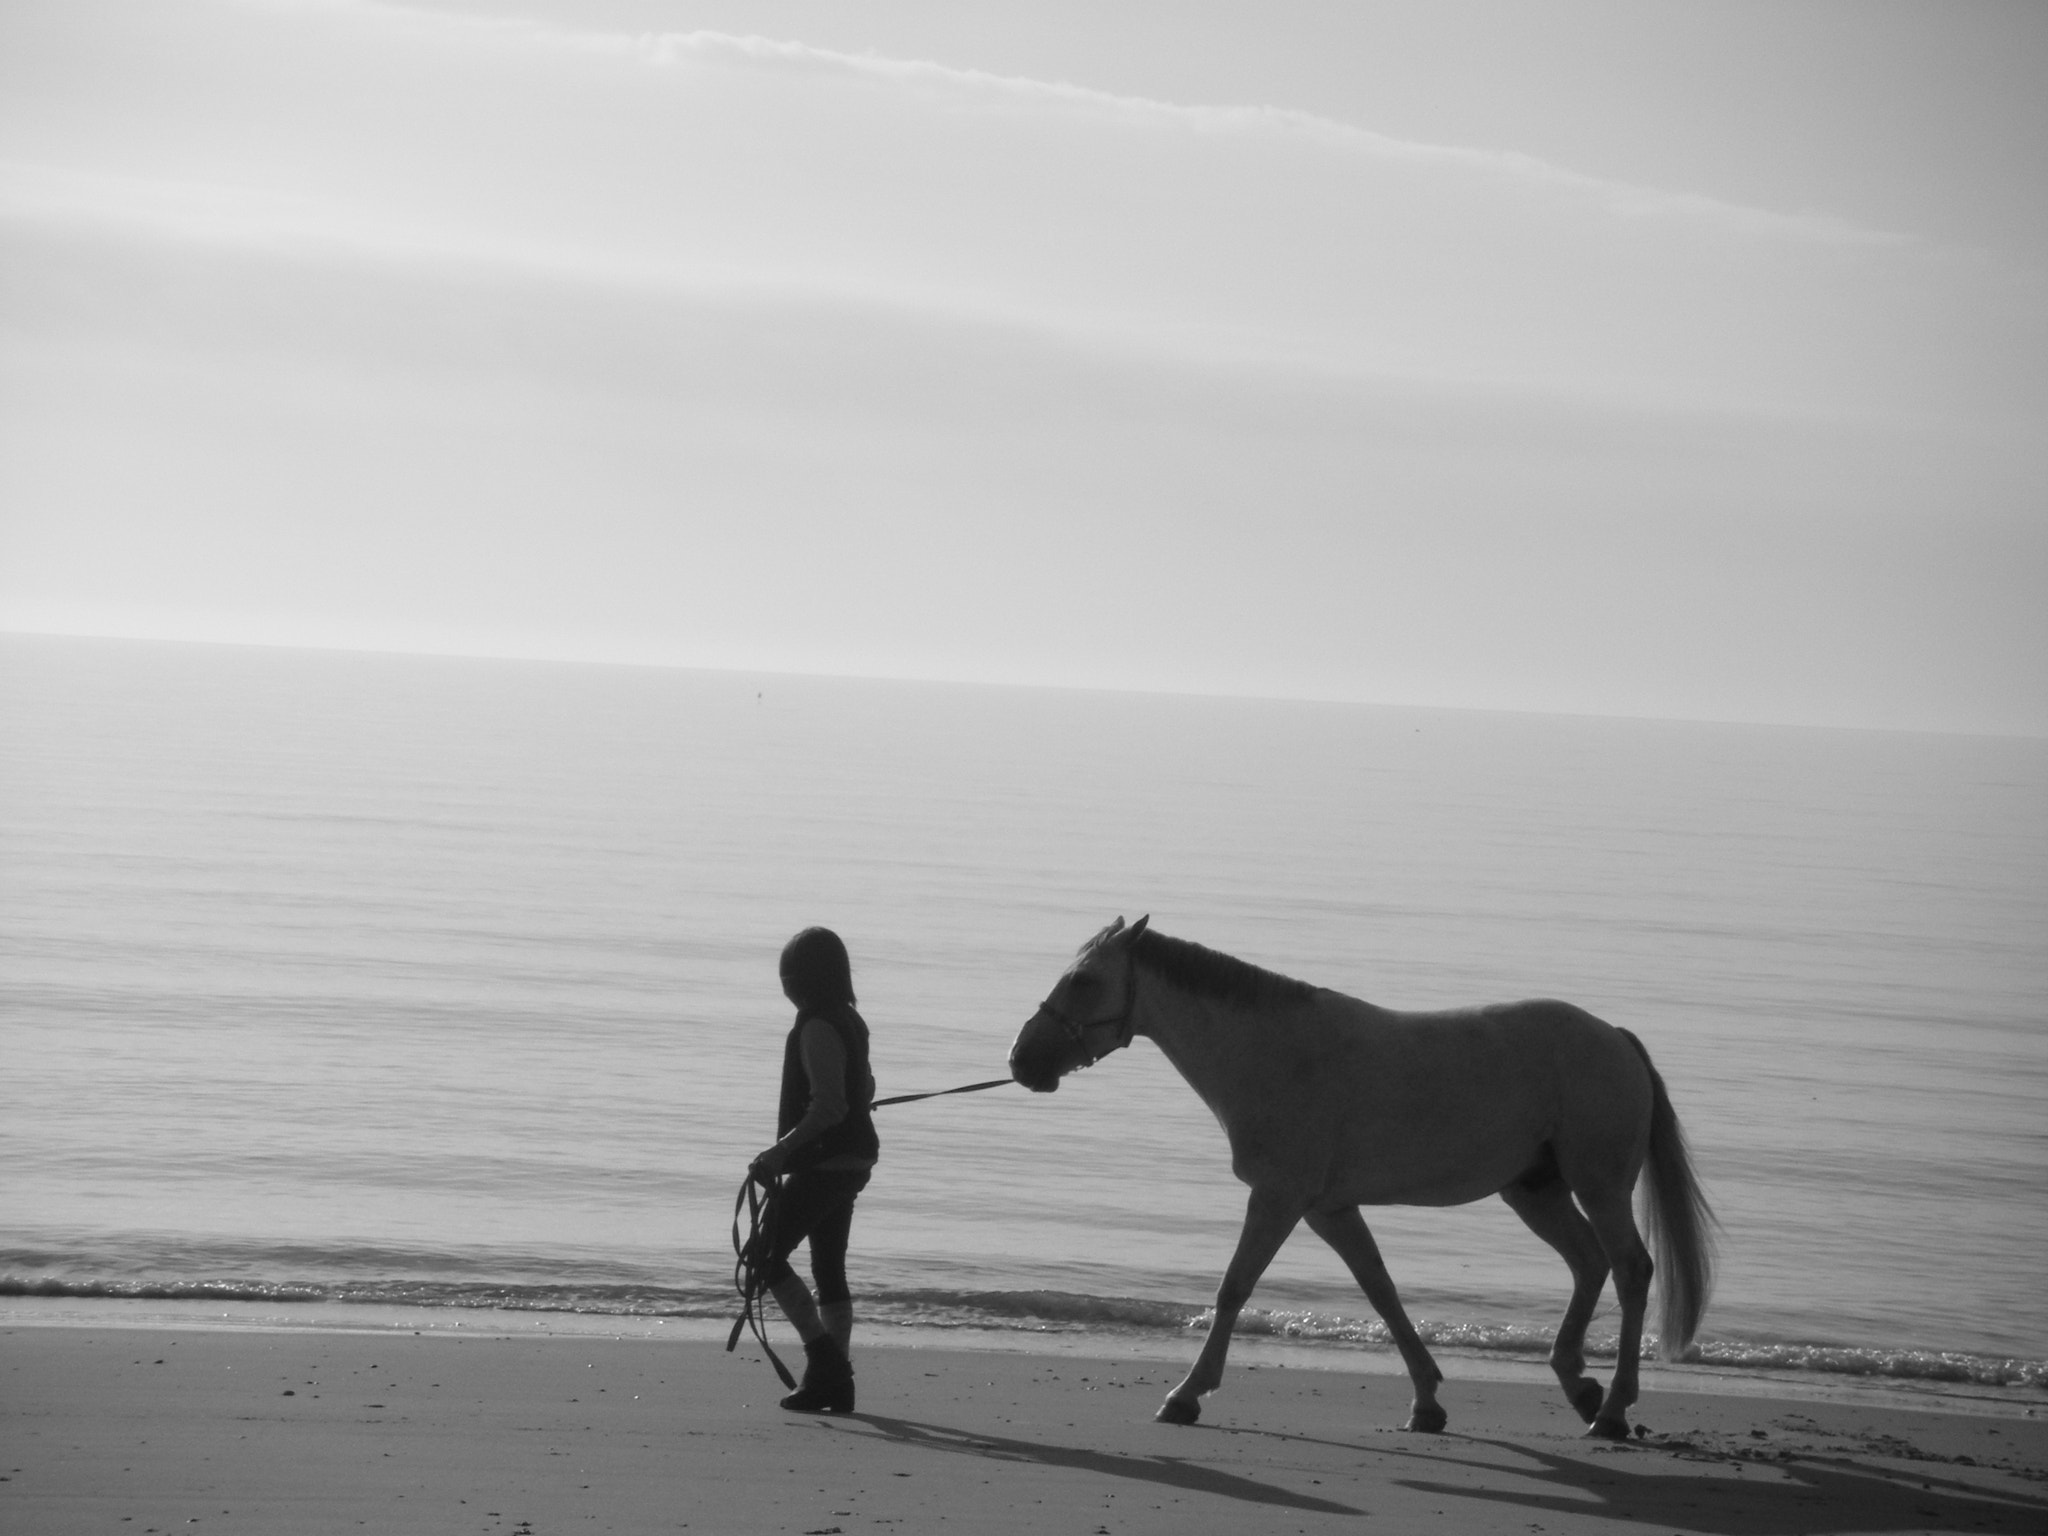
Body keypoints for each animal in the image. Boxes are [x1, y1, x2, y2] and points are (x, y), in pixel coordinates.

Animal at [1007, 913, 1712, 1441]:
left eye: (1084, 980)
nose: (1021, 1061)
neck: (1273, 1052)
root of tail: (1614, 1038)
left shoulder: (1279, 1199)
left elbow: (1234, 1288)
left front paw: (1186, 1394)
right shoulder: (1329, 1209)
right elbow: (1381, 1290)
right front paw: (1426, 1402)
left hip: (1599, 1187)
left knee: (1630, 1270)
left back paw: (1612, 1408)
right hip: (1535, 1192)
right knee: (1588, 1263)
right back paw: (1579, 1384)